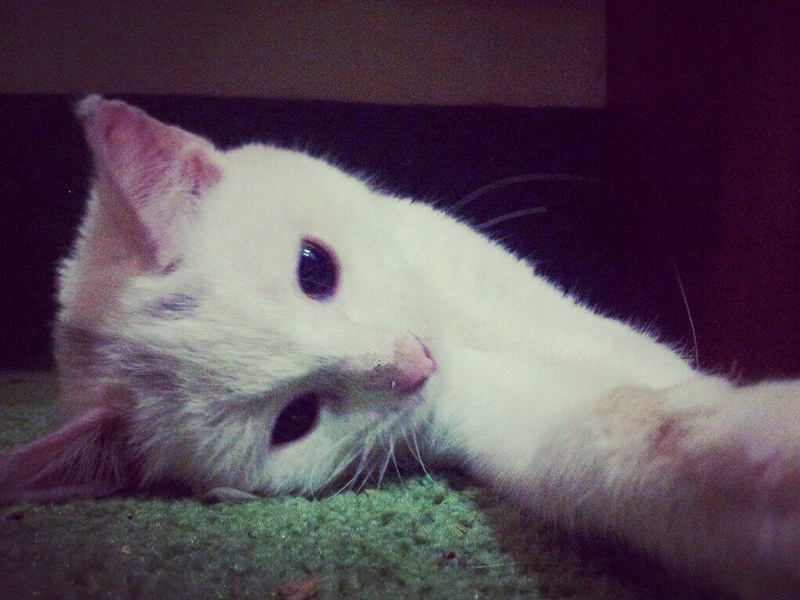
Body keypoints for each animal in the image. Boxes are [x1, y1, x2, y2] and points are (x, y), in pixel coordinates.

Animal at [1, 96, 799, 599]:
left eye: (314, 269)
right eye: (295, 420)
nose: (414, 364)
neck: (463, 344)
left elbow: (661, 382)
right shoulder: (505, 418)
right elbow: (635, 434)